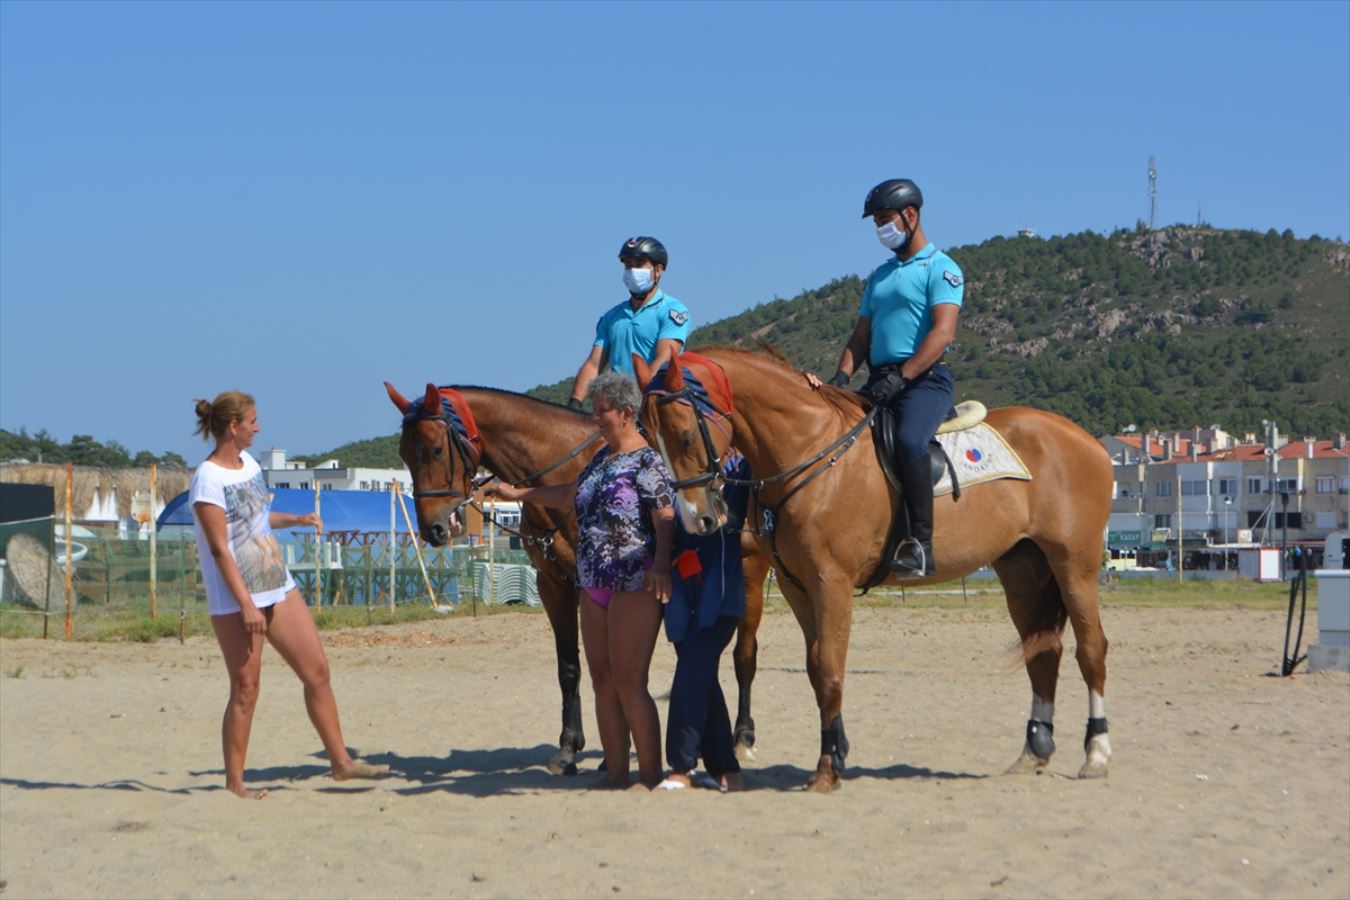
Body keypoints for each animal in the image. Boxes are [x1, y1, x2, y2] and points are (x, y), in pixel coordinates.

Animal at [386, 383, 777, 777]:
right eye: (403, 454)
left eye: (436, 449)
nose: (433, 529)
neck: (565, 472)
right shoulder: (553, 586)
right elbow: (570, 668)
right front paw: (569, 747)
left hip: (749, 575)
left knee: (743, 656)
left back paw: (742, 735)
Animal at [637, 348, 1112, 793]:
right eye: (648, 436)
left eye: (684, 434)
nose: (697, 519)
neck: (811, 451)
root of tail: (1085, 439)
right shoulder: (796, 586)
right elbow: (815, 668)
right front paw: (836, 752)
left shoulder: (831, 582)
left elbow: (830, 670)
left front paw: (827, 769)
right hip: (1022, 572)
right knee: (1044, 654)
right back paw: (1035, 751)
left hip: (1074, 567)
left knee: (1091, 650)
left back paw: (1096, 752)